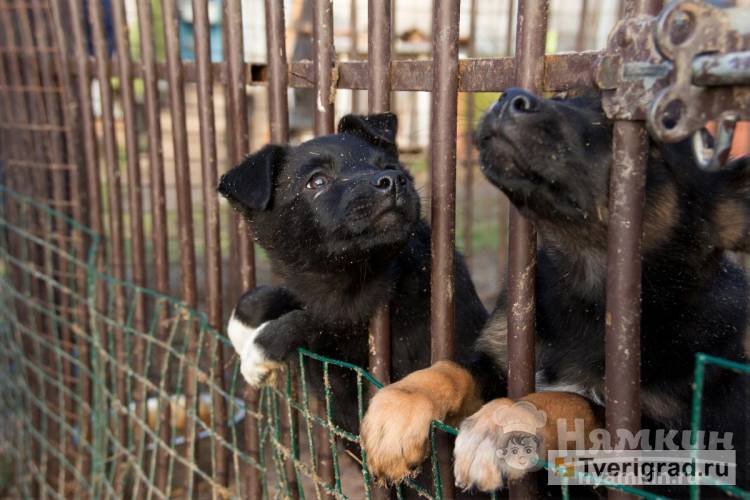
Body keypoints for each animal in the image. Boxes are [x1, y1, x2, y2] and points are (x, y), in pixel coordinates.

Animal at [217, 112, 488, 434]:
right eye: (317, 181)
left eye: (387, 165)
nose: (392, 180)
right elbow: (272, 296)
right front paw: (239, 327)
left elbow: (319, 320)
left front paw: (258, 351)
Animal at [362, 91, 748, 492]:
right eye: (566, 97)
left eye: (646, 141)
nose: (509, 98)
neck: (586, 297)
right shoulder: (497, 367)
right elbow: (451, 369)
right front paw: (400, 407)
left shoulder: (667, 451)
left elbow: (572, 402)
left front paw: (502, 424)